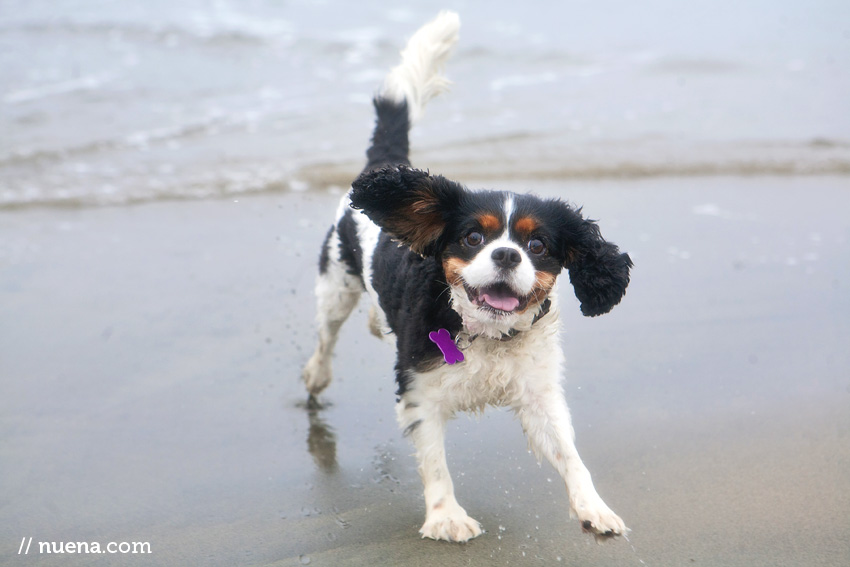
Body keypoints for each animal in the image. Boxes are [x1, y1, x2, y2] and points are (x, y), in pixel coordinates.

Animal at [300, 11, 628, 544]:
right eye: (474, 237)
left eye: (538, 246)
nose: (508, 255)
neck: (485, 332)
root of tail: (385, 168)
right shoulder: (419, 392)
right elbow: (436, 463)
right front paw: (446, 517)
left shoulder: (540, 394)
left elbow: (570, 454)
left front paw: (593, 507)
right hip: (336, 284)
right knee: (326, 337)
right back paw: (316, 374)